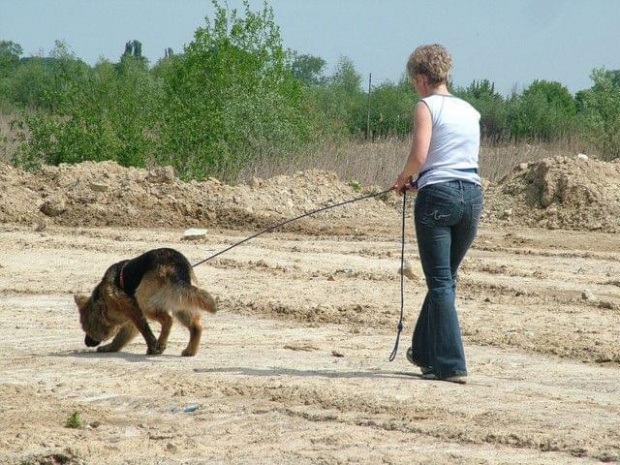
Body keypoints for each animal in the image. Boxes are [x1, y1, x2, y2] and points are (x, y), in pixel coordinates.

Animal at [75, 246, 217, 356]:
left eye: (85, 327)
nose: (86, 343)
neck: (102, 301)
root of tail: (174, 263)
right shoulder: (132, 316)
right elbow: (122, 336)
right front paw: (111, 348)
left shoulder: (132, 310)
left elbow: (145, 331)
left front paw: (153, 348)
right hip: (182, 303)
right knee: (196, 327)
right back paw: (190, 351)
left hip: (146, 302)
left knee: (168, 320)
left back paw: (161, 343)